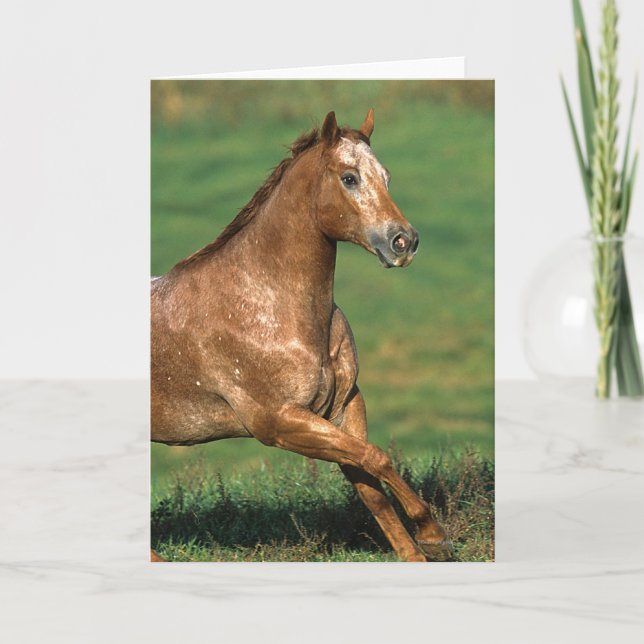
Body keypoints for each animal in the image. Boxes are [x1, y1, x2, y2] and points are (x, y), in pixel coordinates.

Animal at [151, 109, 453, 562]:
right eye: (349, 177)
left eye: (386, 176)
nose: (404, 242)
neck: (265, 304)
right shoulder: (280, 422)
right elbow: (378, 458)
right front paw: (432, 532)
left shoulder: (342, 406)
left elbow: (369, 482)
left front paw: (418, 552)